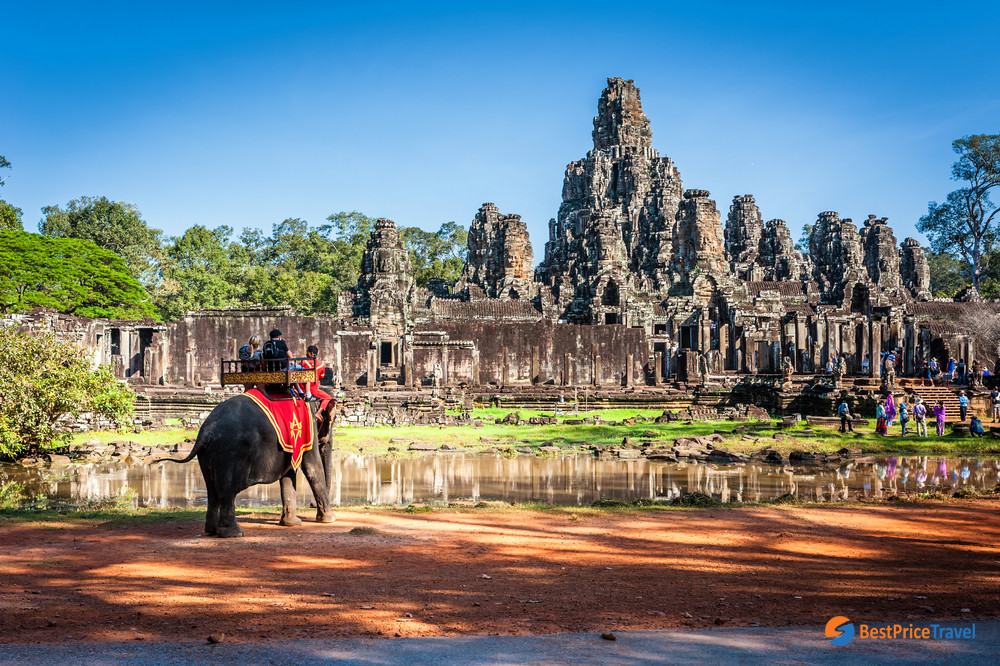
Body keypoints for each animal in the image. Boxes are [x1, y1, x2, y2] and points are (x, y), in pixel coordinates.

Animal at [165, 394, 336, 537]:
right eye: (331, 421)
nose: (311, 504)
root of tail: (205, 432)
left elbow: (289, 473)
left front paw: (291, 524)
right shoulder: (307, 430)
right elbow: (312, 466)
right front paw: (329, 519)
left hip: (207, 456)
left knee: (211, 489)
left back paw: (212, 530)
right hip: (230, 453)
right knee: (227, 491)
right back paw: (234, 533)